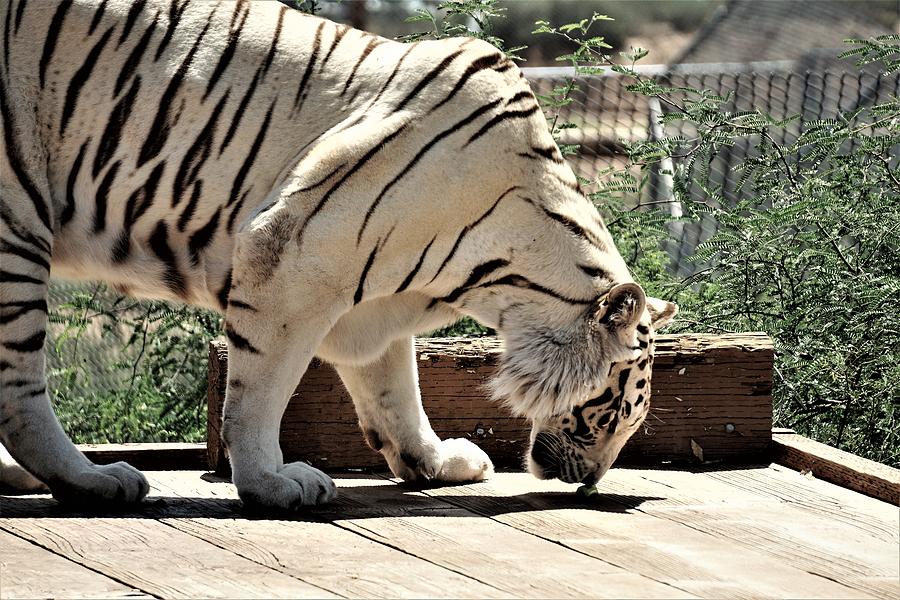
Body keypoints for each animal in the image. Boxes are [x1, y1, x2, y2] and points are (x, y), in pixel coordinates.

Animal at [1, 0, 676, 510]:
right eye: (610, 409)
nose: (587, 482)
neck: (506, 281)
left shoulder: (375, 302)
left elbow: (397, 389)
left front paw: (435, 460)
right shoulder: (294, 257)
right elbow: (259, 392)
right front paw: (270, 483)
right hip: (17, 221)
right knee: (20, 392)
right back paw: (91, 480)